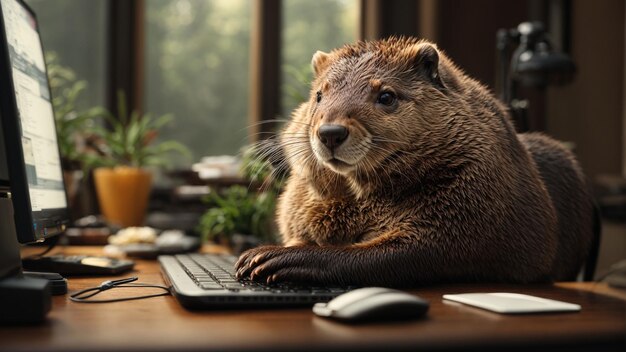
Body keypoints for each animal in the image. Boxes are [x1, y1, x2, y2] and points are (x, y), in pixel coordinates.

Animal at [233, 37, 588, 288]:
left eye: (386, 96)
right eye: (319, 95)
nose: (331, 132)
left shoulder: (473, 194)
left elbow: (413, 251)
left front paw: (267, 257)